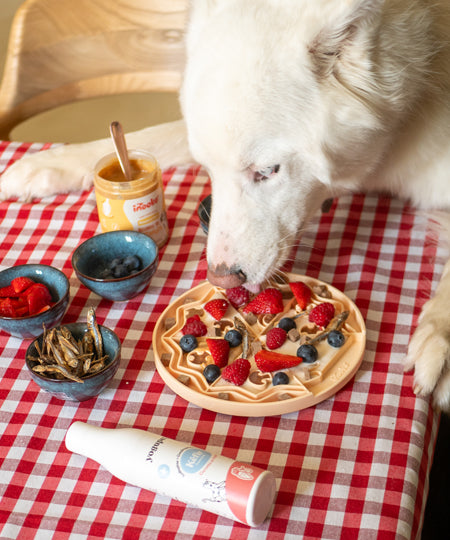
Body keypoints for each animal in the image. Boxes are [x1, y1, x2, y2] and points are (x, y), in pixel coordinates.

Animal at [0, 0, 450, 410]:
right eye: (208, 170)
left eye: (267, 170)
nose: (219, 279)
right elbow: (152, 137)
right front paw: (51, 163)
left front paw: (438, 340)